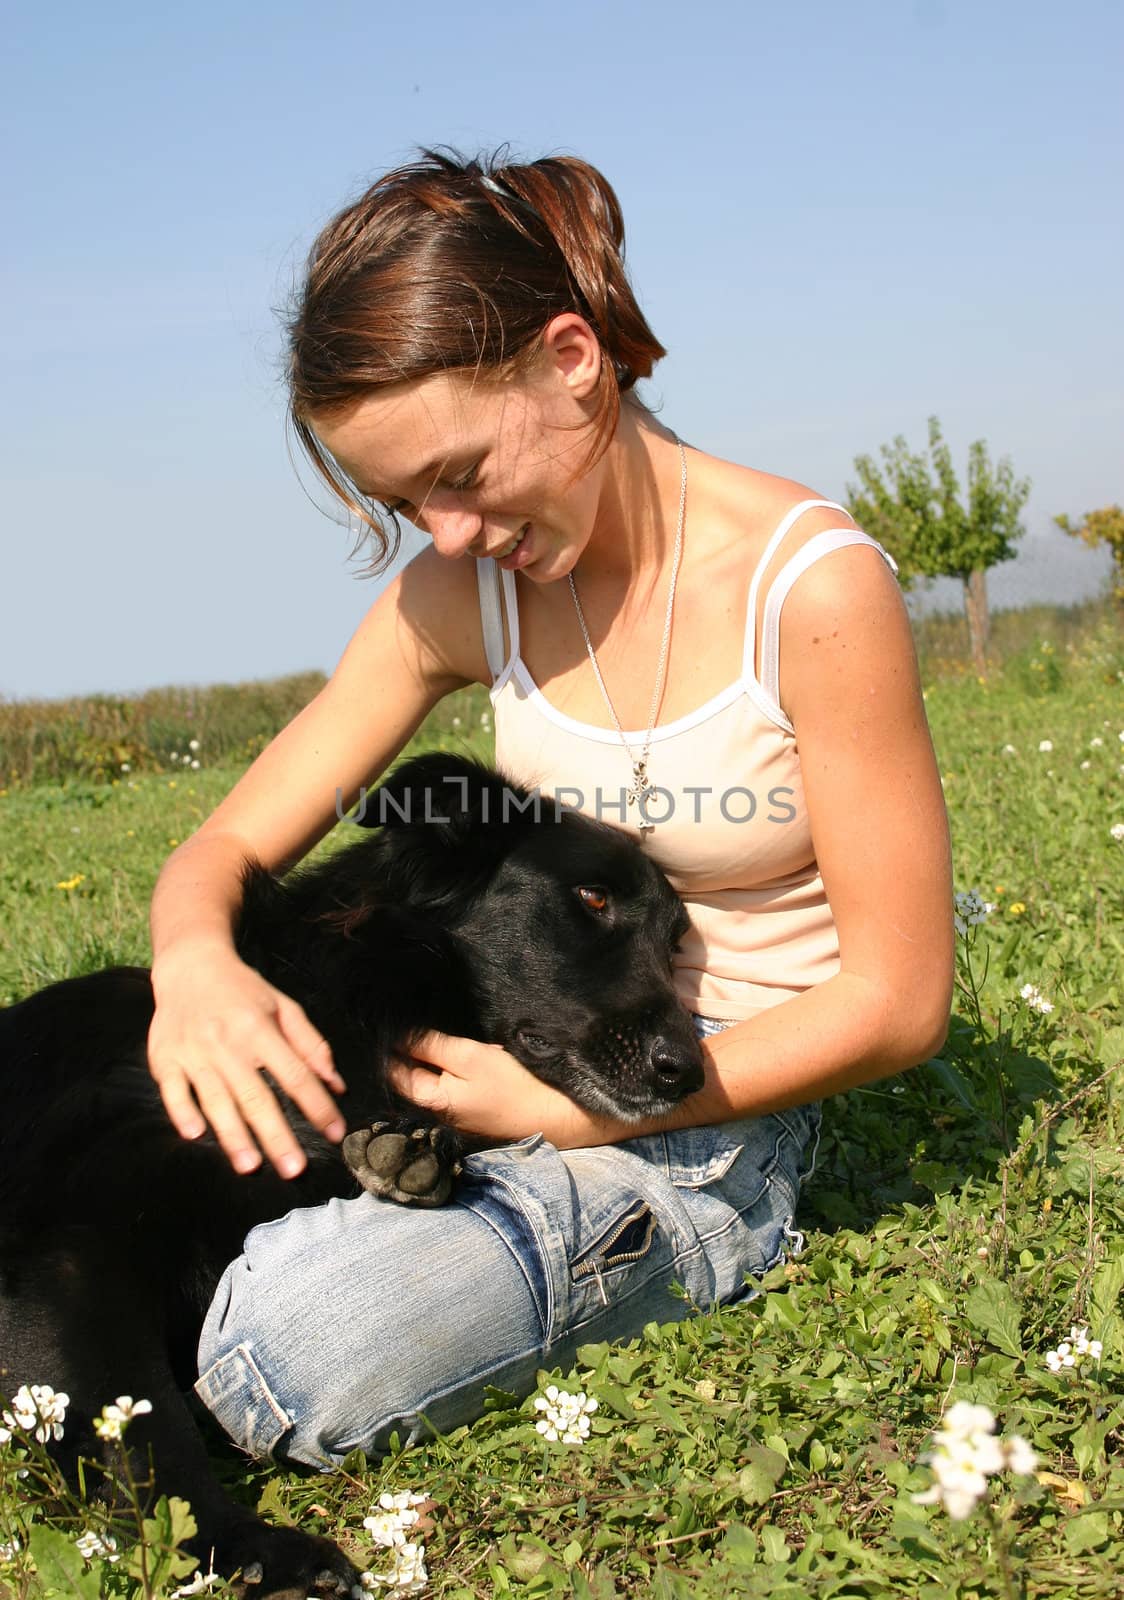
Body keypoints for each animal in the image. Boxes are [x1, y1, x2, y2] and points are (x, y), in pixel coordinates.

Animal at [0, 755, 704, 1593]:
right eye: (593, 898)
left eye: (676, 940)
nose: (691, 1073)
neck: (341, 1010)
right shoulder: (71, 1248)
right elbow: (141, 1434)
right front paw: (247, 1550)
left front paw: (413, 1153)